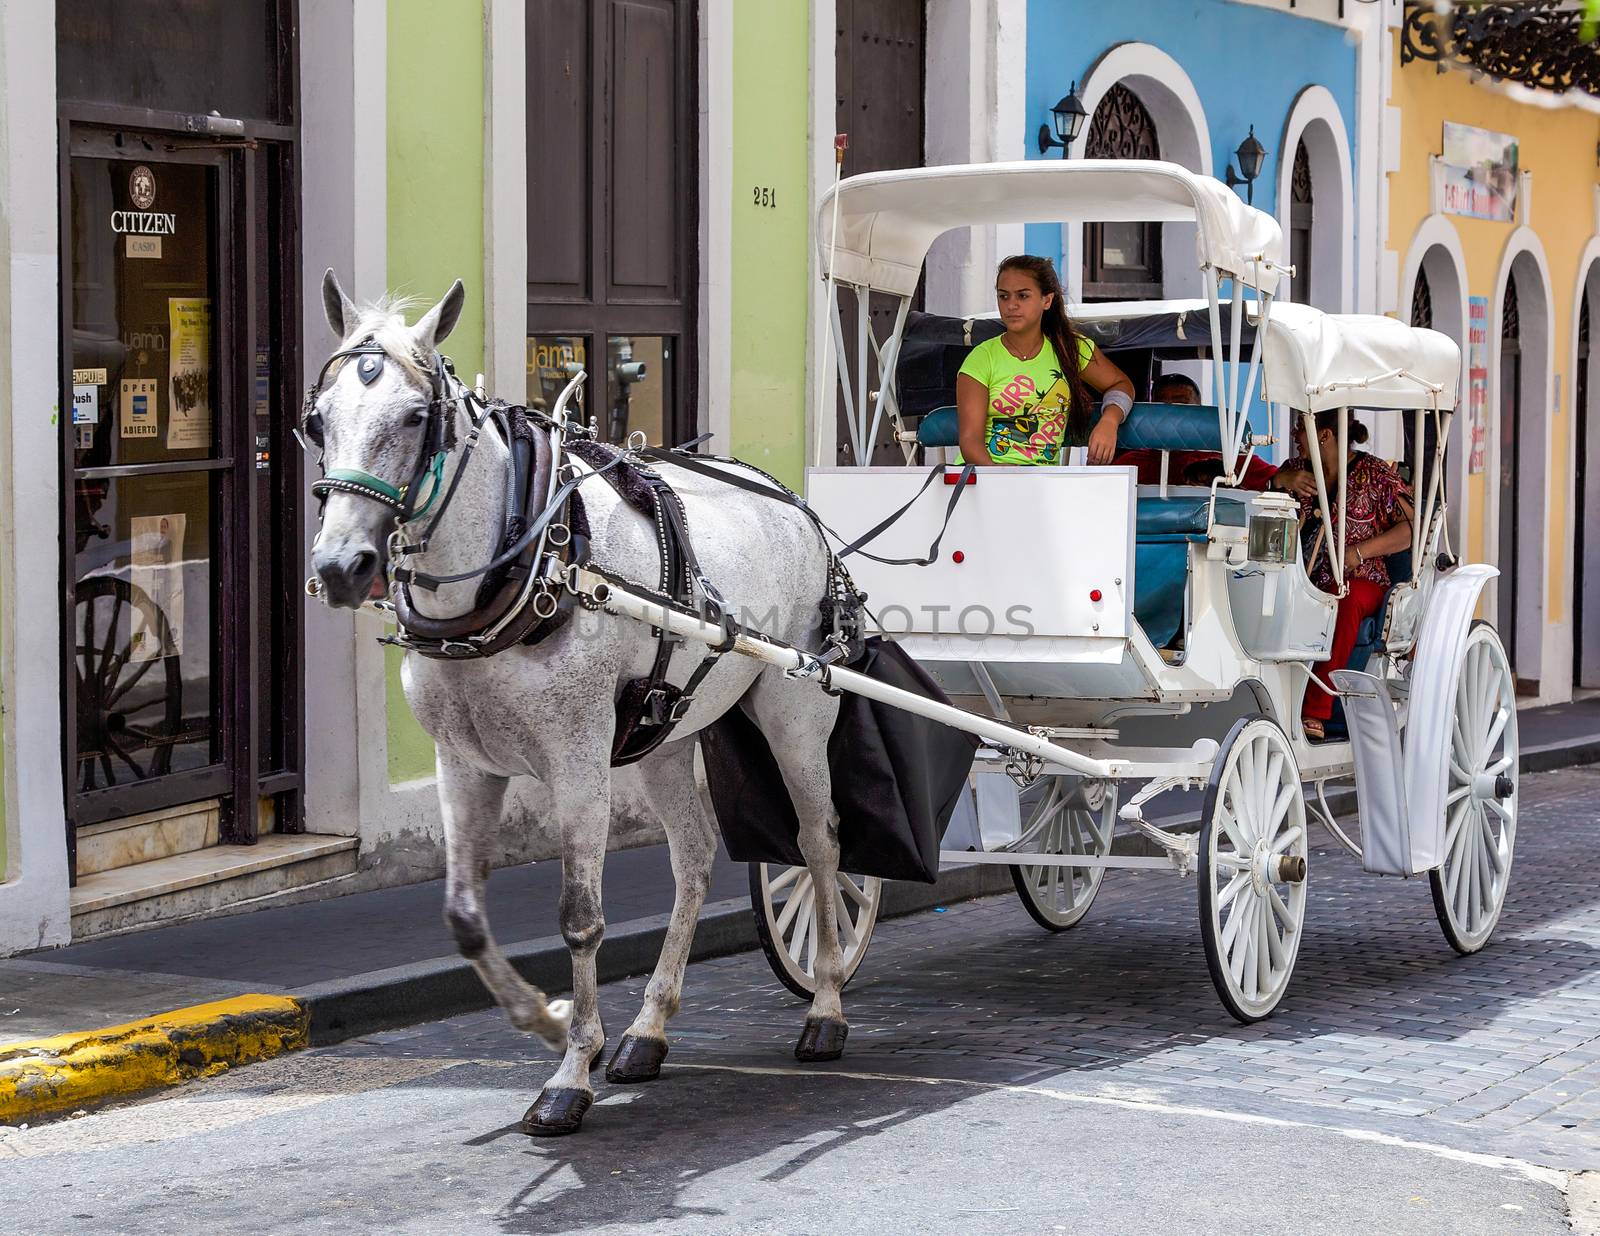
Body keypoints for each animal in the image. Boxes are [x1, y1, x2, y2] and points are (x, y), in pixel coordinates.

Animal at [302, 275, 851, 1133]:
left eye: (416, 417)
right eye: (315, 419)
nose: (339, 567)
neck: (527, 564)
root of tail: (790, 500)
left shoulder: (580, 758)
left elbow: (580, 916)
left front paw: (570, 1071)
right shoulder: (462, 764)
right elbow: (464, 917)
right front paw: (543, 1018)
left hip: (795, 713)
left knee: (818, 843)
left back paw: (825, 1005)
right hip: (665, 734)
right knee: (694, 858)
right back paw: (649, 1030)